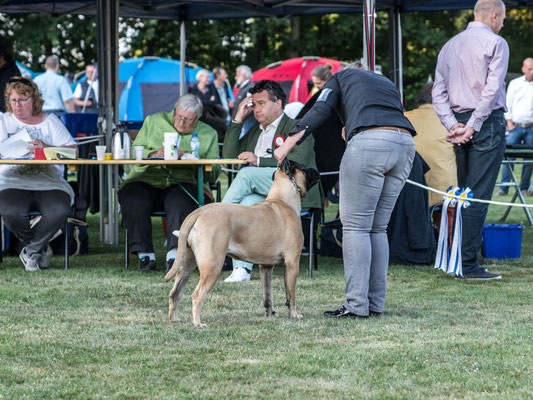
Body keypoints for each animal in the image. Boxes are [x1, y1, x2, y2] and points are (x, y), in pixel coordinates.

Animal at [164, 160, 318, 328]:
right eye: (304, 169)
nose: (316, 171)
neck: (282, 200)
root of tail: (197, 212)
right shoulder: (292, 263)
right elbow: (291, 294)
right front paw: (294, 315)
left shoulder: (266, 267)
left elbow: (267, 295)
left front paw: (270, 313)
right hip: (212, 266)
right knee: (196, 295)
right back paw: (198, 323)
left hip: (186, 265)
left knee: (174, 293)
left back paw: (174, 319)